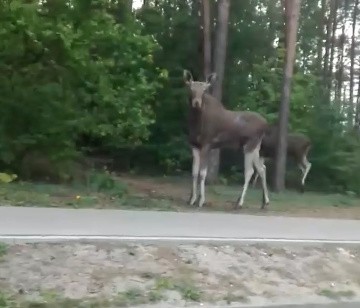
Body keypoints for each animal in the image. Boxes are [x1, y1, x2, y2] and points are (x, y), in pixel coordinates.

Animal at [183, 70, 270, 209]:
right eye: (191, 88)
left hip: (250, 145)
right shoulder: (194, 145)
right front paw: (191, 199)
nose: (196, 102)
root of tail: (266, 125)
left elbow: (202, 173)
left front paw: (201, 201)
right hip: (256, 146)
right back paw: (265, 202)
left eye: (204, 90)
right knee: (262, 168)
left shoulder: (207, 145)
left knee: (250, 171)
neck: (195, 123)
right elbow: (194, 172)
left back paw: (239, 202)